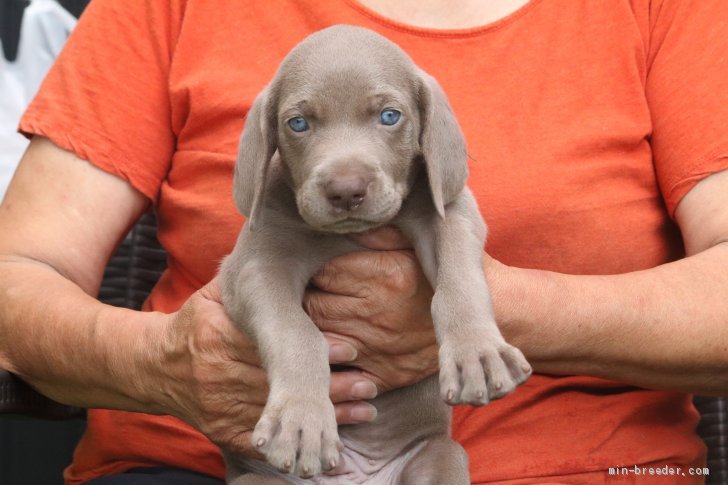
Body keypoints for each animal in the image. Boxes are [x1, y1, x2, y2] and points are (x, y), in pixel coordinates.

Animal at [216, 23, 528, 484]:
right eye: (298, 123)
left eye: (389, 116)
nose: (346, 190)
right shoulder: (252, 269)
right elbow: (295, 331)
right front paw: (301, 420)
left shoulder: (451, 211)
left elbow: (459, 281)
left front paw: (477, 351)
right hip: (255, 479)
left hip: (441, 454)